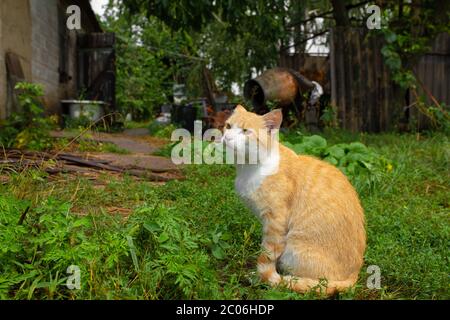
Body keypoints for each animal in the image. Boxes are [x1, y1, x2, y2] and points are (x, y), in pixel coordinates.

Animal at [221, 104, 366, 296]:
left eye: (246, 131)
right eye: (228, 126)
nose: (227, 137)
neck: (249, 168)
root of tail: (354, 275)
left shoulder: (275, 222)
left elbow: (267, 254)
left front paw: (261, 278)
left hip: (293, 251)